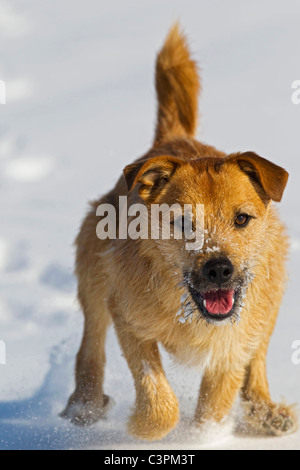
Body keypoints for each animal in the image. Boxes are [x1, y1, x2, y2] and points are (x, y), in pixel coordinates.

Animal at [60, 23, 296, 440]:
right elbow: (159, 402)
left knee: (259, 355)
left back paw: (265, 411)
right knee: (91, 339)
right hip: (93, 265)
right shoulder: (130, 320)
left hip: (271, 292)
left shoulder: (231, 346)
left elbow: (216, 404)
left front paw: (204, 436)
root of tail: (168, 139)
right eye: (184, 221)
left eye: (241, 219)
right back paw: (85, 403)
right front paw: (142, 426)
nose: (219, 268)